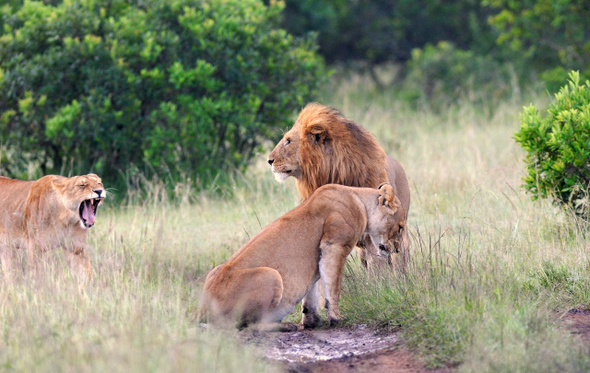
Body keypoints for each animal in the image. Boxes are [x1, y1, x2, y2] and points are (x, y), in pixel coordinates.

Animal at [201, 183, 404, 328]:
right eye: (401, 227)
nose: (397, 250)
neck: (360, 201)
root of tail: (202, 311)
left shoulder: (317, 259)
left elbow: (313, 290)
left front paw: (312, 321)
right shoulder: (335, 245)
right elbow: (333, 287)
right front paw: (336, 318)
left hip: (215, 271)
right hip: (271, 275)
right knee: (250, 325)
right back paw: (284, 326)